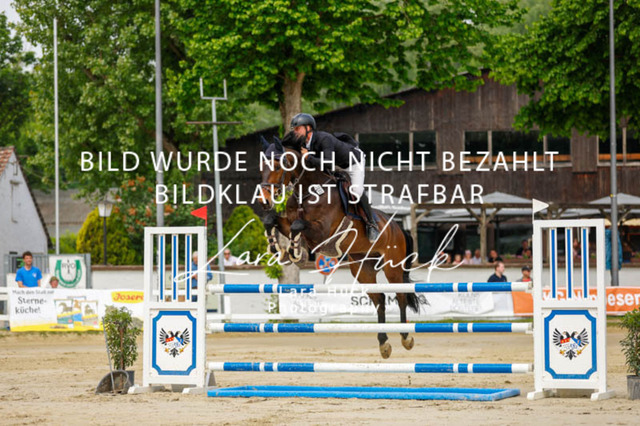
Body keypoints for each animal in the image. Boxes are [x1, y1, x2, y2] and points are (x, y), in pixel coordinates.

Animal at [258, 136, 419, 359]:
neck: (308, 191)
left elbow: (298, 225)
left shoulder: (323, 232)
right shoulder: (289, 223)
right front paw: (279, 249)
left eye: (276, 165)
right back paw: (383, 343)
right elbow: (272, 220)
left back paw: (405, 337)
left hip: (392, 266)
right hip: (363, 268)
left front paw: (296, 251)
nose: (263, 200)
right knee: (380, 299)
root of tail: (397, 227)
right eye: (261, 166)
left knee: (400, 295)